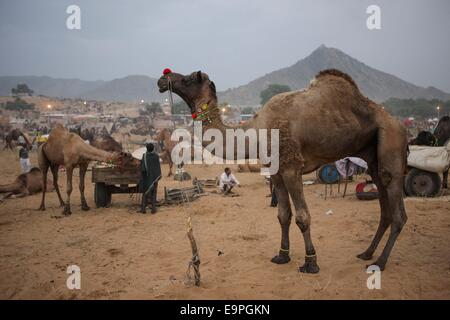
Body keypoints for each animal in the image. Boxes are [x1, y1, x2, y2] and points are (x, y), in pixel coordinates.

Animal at [158, 69, 408, 272]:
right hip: (372, 154)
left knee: (397, 210)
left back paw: (380, 262)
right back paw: (367, 253)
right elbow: (283, 215)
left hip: (391, 139)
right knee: (384, 203)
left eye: (188, 79)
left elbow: (302, 217)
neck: (257, 131)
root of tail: (398, 123)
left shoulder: (291, 168)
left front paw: (310, 262)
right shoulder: (276, 171)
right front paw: (282, 255)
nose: (163, 79)